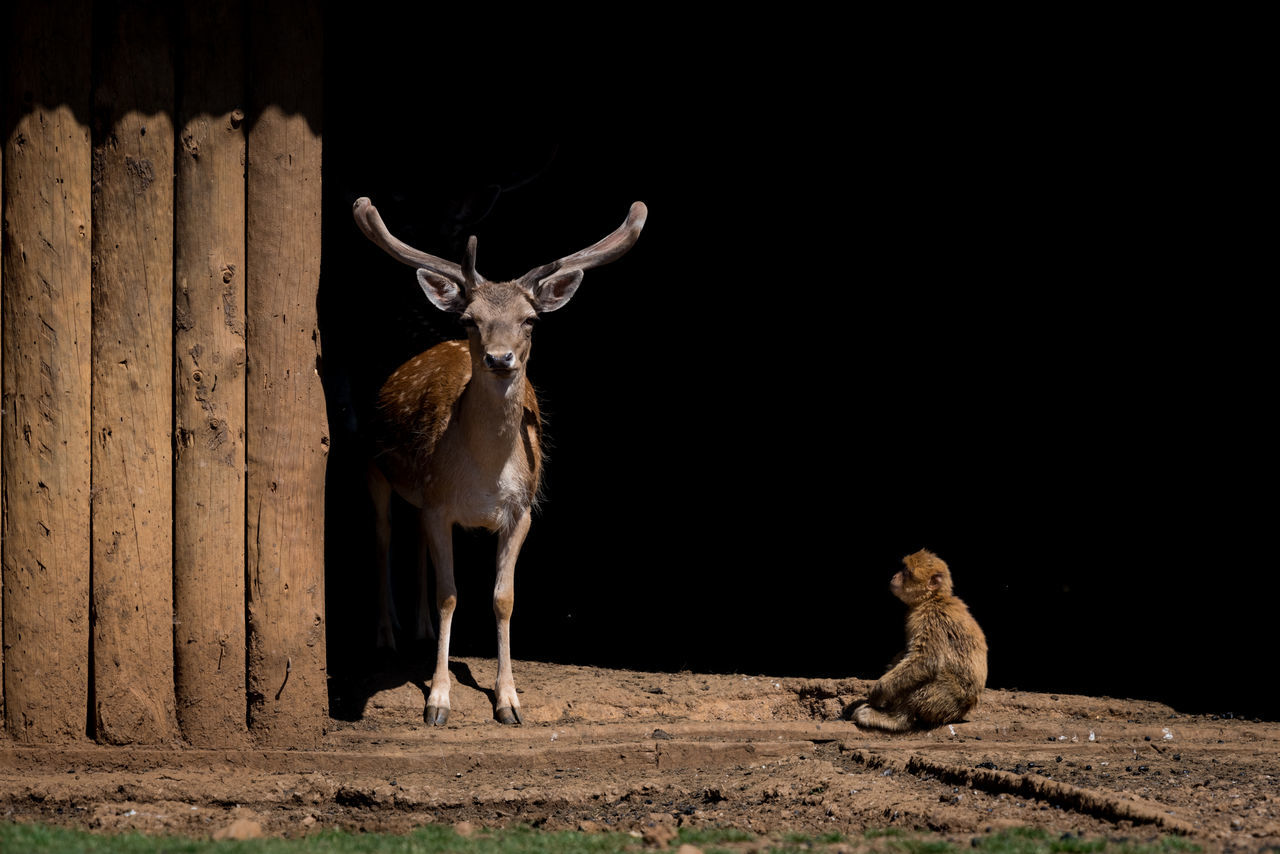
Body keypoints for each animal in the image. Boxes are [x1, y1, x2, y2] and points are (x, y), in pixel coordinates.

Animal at [355, 197, 645, 727]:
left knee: (415, 540)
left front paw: (508, 700)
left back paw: (420, 628)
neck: (484, 476)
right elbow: (451, 595)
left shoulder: (520, 510)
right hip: (373, 465)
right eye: (470, 320)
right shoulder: (440, 504)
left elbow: (503, 598)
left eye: (530, 319)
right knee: (384, 536)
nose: (499, 357)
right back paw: (387, 635)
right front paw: (438, 701)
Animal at [849, 550, 988, 732]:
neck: (931, 598)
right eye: (902, 569)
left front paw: (879, 690)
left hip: (948, 699)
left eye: (906, 572)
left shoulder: (931, 618)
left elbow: (926, 660)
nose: (894, 576)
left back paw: (895, 720)